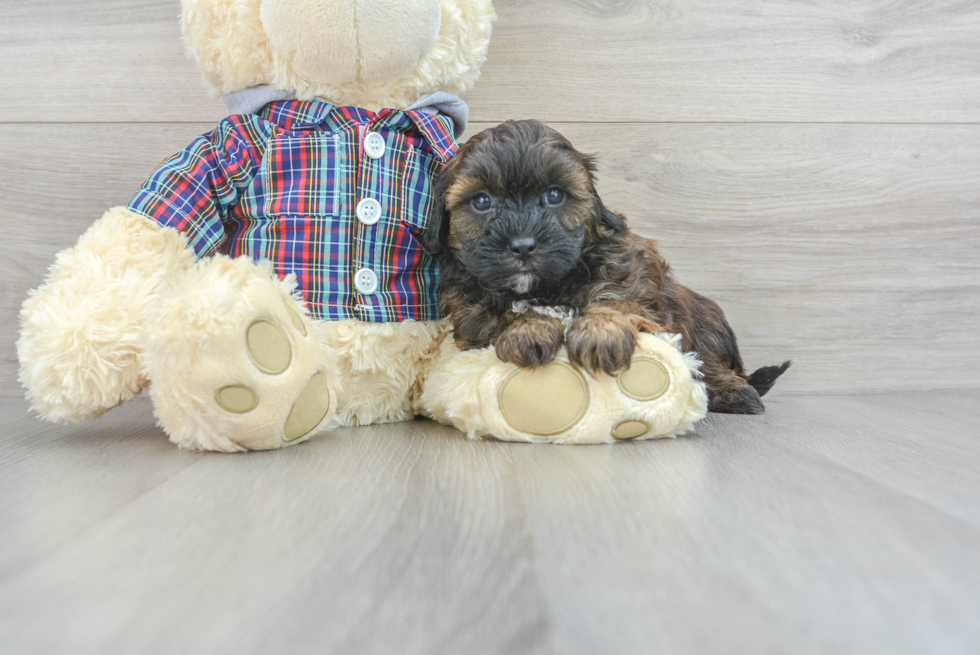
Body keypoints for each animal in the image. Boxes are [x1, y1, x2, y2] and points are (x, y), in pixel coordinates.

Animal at [422, 120, 788, 412]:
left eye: (555, 195)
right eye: (482, 201)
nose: (523, 245)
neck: (547, 287)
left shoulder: (632, 268)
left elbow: (618, 298)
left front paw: (600, 332)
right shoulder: (468, 310)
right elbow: (498, 314)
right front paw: (528, 328)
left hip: (706, 323)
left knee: (711, 361)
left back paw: (734, 393)